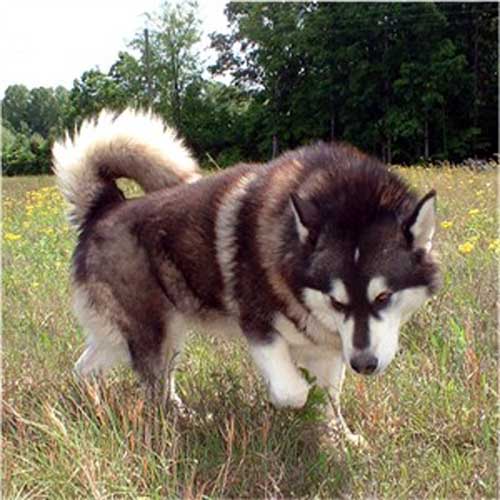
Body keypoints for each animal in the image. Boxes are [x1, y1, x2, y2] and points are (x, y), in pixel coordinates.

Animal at [52, 110, 440, 446]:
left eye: (383, 297)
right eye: (337, 300)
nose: (364, 365)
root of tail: (105, 206)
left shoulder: (331, 343)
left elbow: (331, 397)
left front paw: (340, 439)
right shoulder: (257, 325)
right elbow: (294, 391)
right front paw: (293, 403)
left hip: (141, 334)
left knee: (91, 368)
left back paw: (98, 406)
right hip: (152, 329)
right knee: (154, 386)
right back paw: (171, 422)